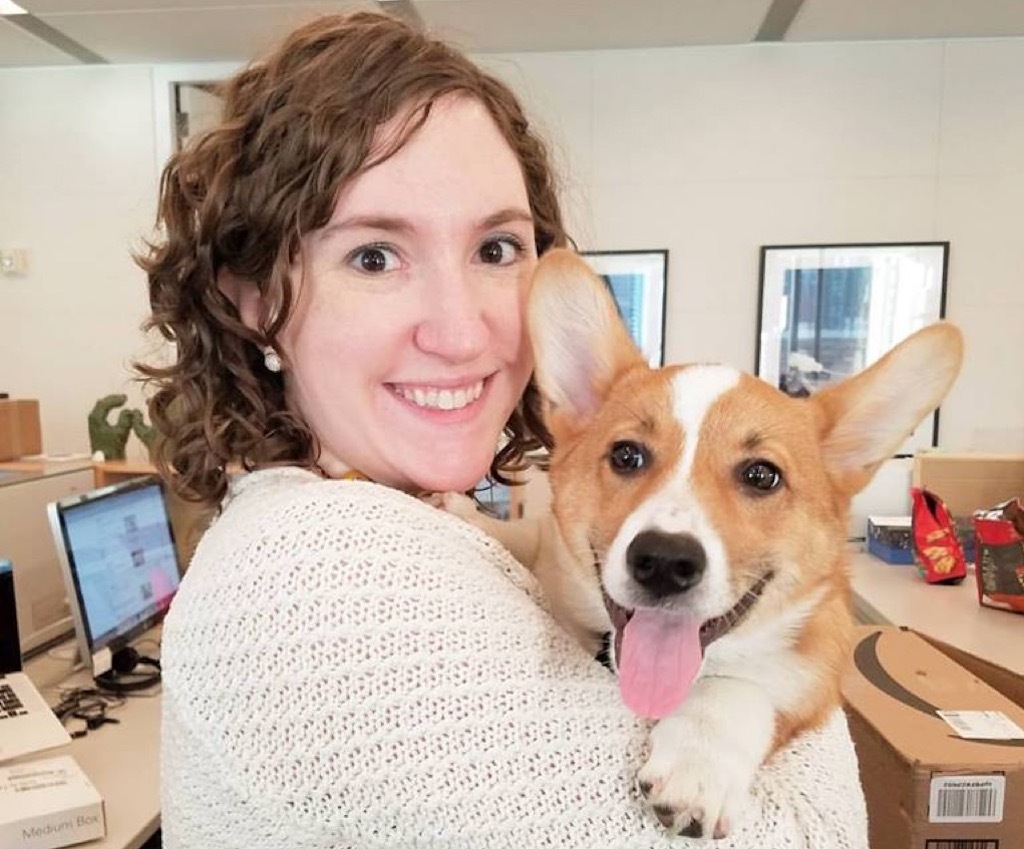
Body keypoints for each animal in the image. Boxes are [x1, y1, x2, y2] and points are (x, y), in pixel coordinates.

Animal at [444, 248, 962, 839]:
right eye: (626, 455)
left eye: (761, 475)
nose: (665, 562)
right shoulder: (550, 546)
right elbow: (527, 535)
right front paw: (469, 512)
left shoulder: (813, 677)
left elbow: (741, 688)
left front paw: (699, 769)